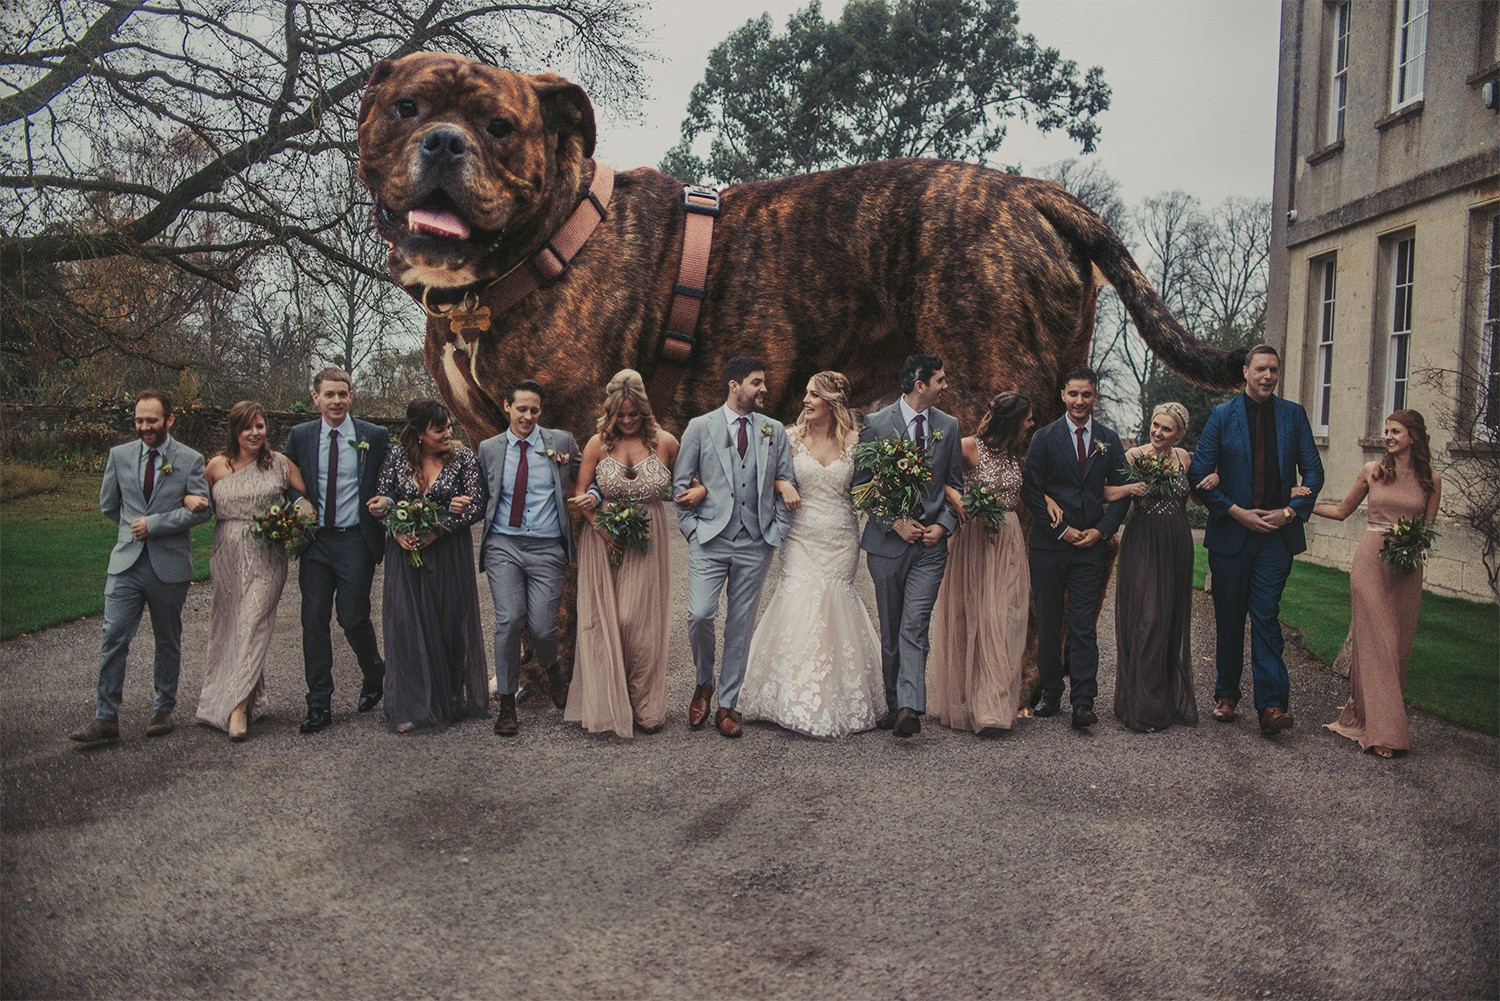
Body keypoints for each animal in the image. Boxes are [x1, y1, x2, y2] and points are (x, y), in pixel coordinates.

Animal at [356, 51, 1244, 445]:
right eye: (405, 107)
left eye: (501, 126)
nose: (444, 142)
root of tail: (1030, 190)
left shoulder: (572, 421)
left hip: (988, 396)